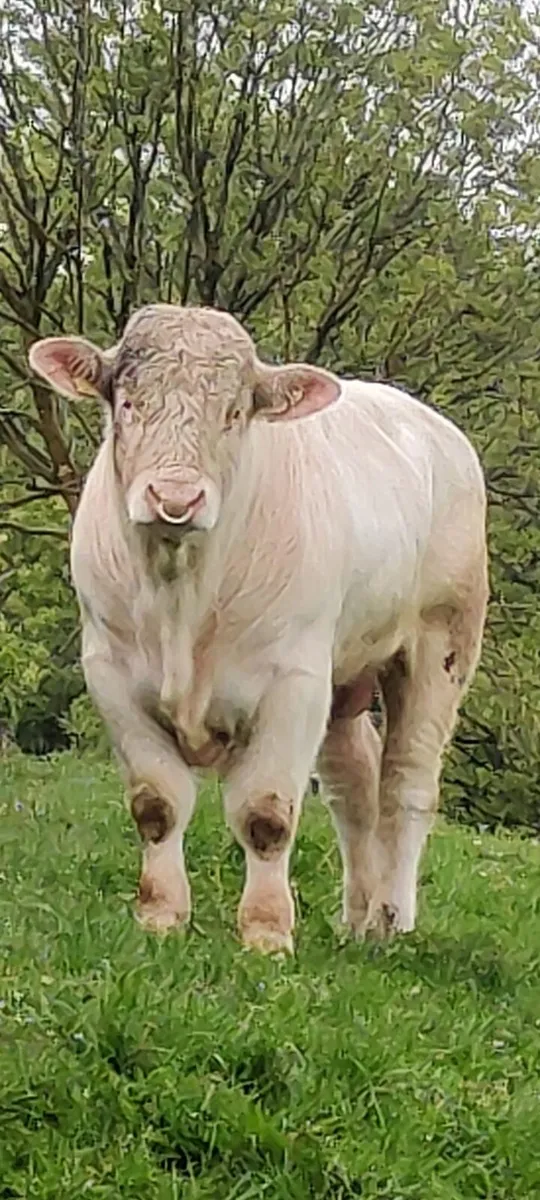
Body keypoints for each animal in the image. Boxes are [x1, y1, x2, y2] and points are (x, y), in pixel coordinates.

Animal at [29, 305, 488, 953]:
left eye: (233, 413)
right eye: (129, 403)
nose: (176, 497)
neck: (182, 594)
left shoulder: (292, 682)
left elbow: (266, 815)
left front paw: (267, 933)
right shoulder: (111, 675)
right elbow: (157, 805)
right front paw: (161, 916)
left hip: (442, 643)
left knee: (407, 784)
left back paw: (391, 920)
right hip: (344, 676)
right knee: (355, 784)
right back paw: (357, 919)